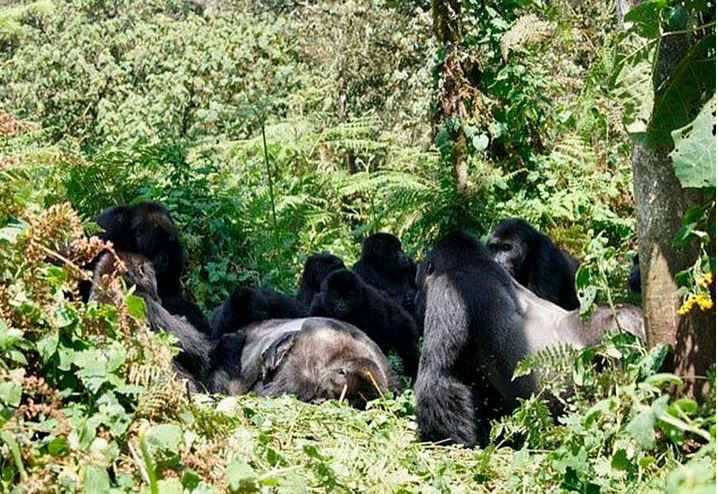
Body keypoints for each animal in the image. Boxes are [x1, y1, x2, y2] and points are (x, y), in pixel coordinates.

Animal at [416, 232, 648, 448]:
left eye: (419, 282)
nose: (416, 300)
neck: (473, 262)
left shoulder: (448, 289)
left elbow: (438, 376)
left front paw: (456, 440)